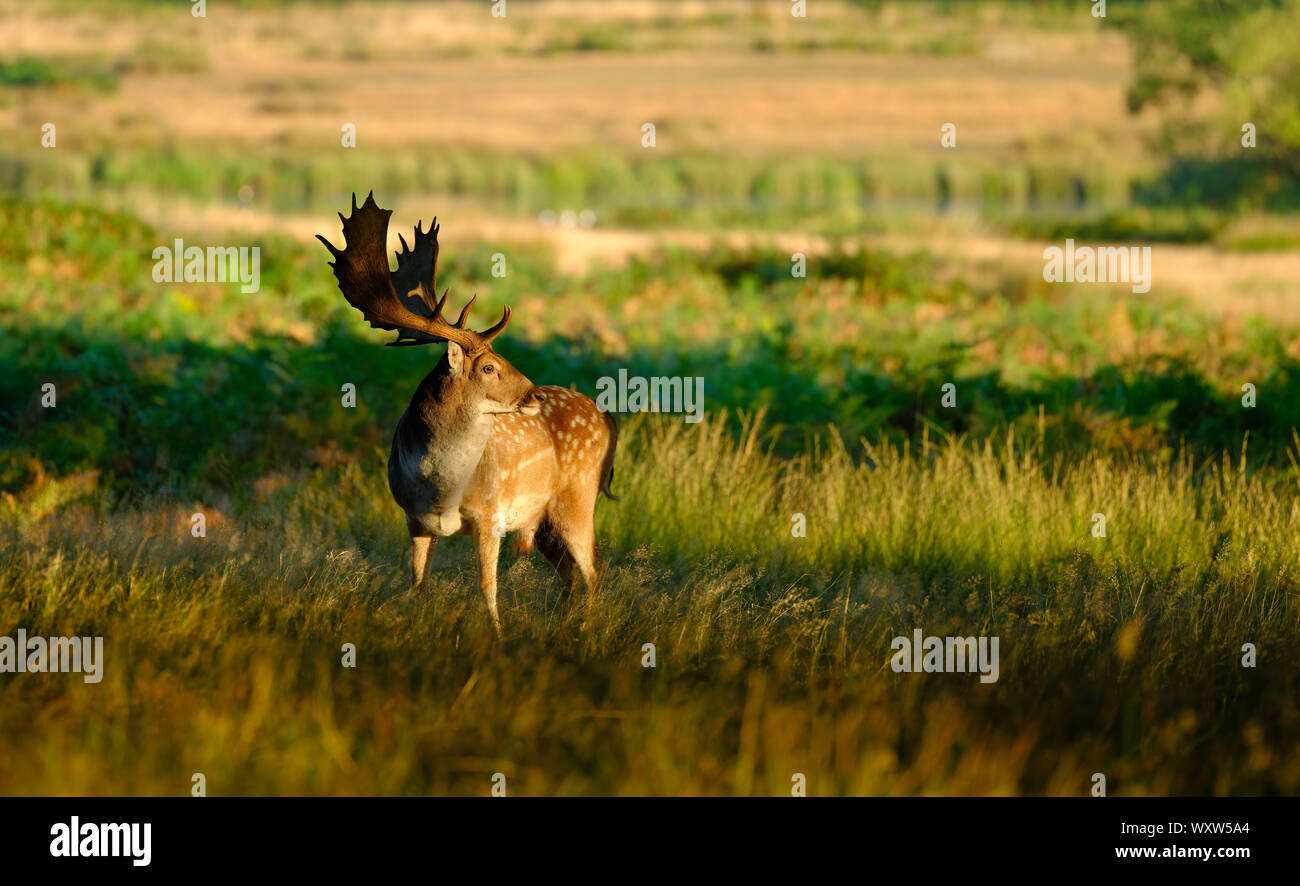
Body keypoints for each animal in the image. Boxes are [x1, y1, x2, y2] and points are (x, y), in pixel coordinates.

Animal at [318, 193, 618, 638]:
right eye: (489, 367)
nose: (534, 393)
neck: (440, 484)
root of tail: (607, 417)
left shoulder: (490, 515)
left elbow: (487, 586)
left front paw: (496, 637)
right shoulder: (413, 518)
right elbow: (418, 582)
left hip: (579, 495)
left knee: (593, 568)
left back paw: (586, 629)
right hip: (544, 518)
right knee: (569, 570)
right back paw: (562, 624)